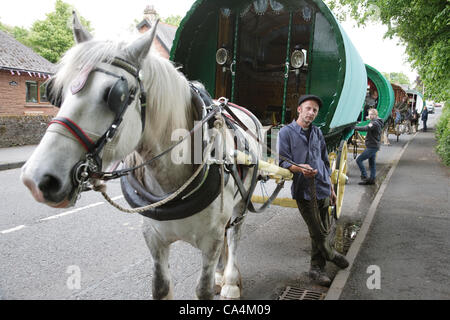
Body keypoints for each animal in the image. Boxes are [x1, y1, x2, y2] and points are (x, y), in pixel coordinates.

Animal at [21, 13, 262, 300]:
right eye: (57, 93)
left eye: (115, 94)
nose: (36, 180)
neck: (174, 184)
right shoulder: (153, 237)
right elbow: (160, 287)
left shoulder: (211, 239)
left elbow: (203, 289)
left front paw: (222, 281)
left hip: (241, 203)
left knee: (234, 235)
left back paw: (229, 281)